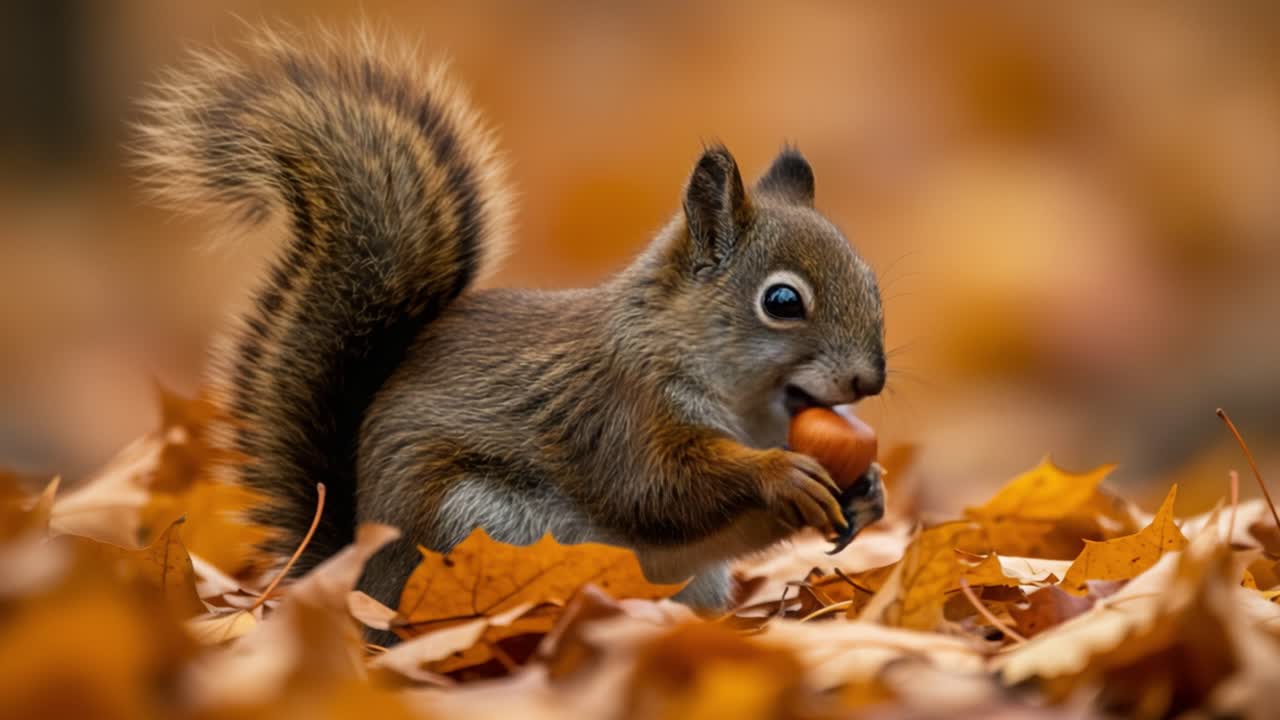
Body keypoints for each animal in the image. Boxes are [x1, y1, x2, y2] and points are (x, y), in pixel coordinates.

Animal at [135, 28, 887, 618]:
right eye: (782, 302)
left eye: (873, 281)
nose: (870, 381)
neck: (746, 407)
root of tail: (355, 585)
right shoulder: (620, 410)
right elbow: (659, 488)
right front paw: (781, 474)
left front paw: (868, 494)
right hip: (469, 523)